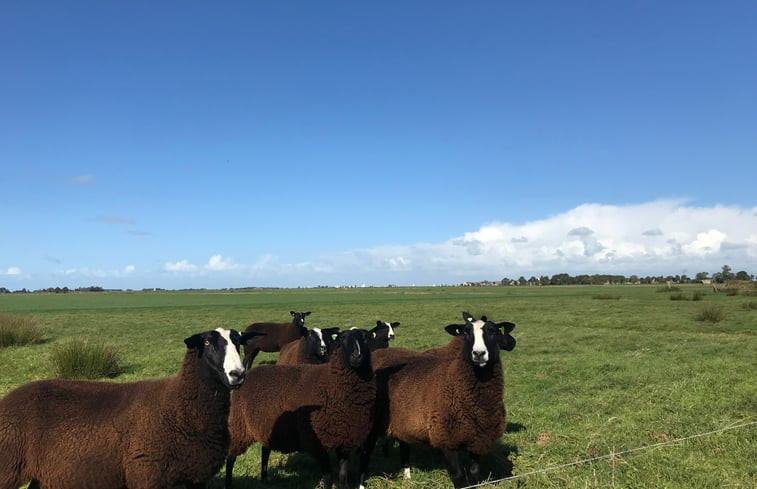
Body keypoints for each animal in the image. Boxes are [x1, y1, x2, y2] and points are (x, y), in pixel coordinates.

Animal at [0, 328, 262, 488]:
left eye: (238, 342)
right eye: (207, 342)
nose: (238, 374)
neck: (178, 407)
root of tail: (8, 399)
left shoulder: (196, 477)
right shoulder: (147, 475)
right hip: (7, 466)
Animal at [226, 326, 376, 489]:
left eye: (366, 338)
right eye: (342, 338)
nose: (357, 356)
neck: (330, 384)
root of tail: (248, 373)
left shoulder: (345, 441)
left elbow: (343, 478)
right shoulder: (317, 443)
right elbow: (328, 478)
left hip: (267, 425)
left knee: (265, 449)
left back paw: (265, 478)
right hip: (239, 425)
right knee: (231, 457)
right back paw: (229, 482)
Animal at [358, 312, 512, 488]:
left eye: (493, 331)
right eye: (465, 332)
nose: (478, 354)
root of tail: (377, 353)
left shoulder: (478, 438)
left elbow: (474, 473)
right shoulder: (447, 437)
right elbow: (458, 476)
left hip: (401, 420)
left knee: (404, 446)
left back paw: (407, 476)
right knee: (365, 455)